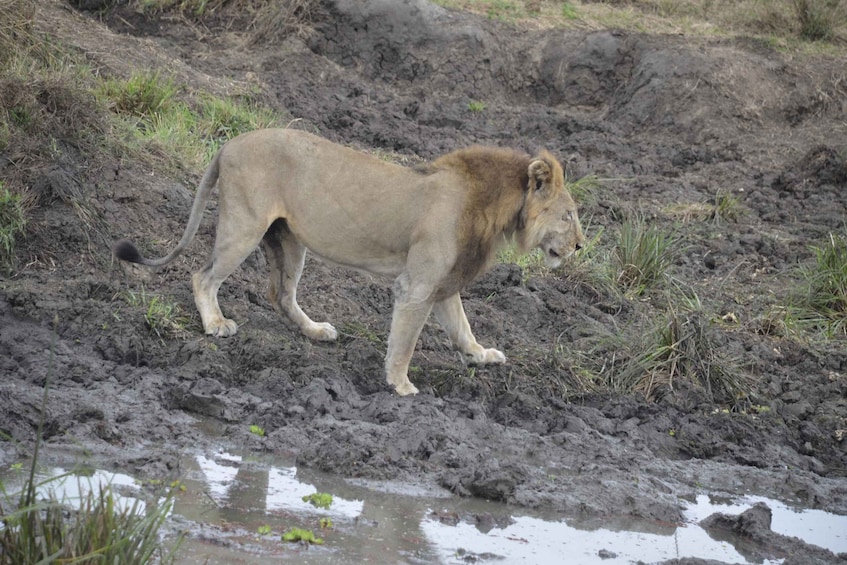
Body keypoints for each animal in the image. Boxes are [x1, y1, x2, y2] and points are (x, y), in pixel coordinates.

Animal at [114, 128, 584, 394]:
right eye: (570, 214)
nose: (580, 247)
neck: (498, 210)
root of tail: (228, 143)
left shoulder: (443, 282)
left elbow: (462, 327)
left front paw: (482, 355)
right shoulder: (417, 285)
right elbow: (405, 341)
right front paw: (400, 385)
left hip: (287, 240)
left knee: (280, 294)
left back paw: (316, 331)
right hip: (243, 226)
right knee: (203, 275)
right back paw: (215, 324)